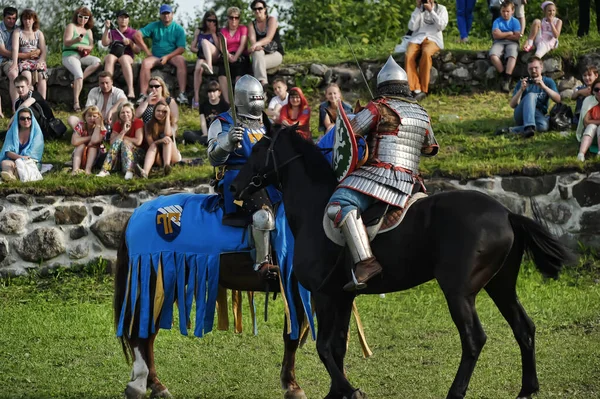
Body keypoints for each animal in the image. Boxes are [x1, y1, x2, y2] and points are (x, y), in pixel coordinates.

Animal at [229, 126, 572, 399]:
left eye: (257, 149)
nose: (234, 187)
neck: (315, 210)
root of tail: (507, 213)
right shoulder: (342, 297)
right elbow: (337, 347)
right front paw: (337, 392)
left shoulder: (324, 295)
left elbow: (324, 347)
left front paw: (350, 390)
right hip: (500, 285)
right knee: (523, 328)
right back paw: (527, 389)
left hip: (459, 292)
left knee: (474, 339)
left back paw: (456, 392)